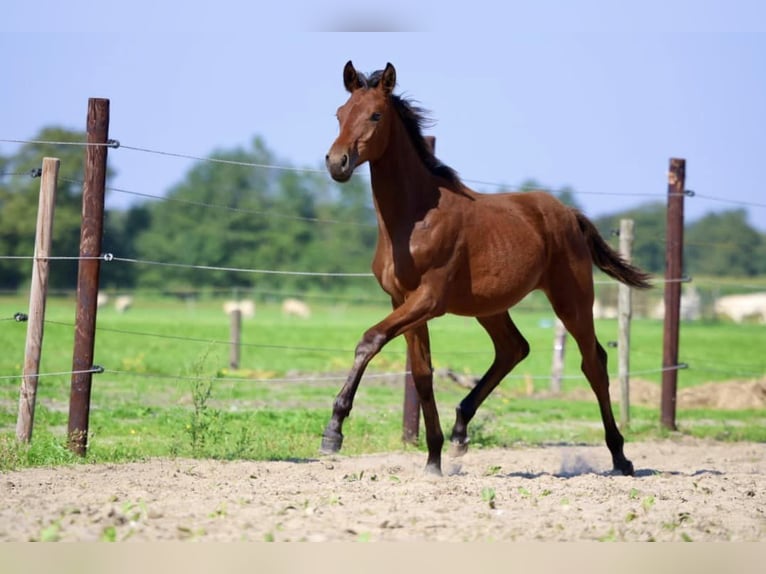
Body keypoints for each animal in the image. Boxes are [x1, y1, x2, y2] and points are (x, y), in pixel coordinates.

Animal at [324, 62, 656, 476]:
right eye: (339, 114)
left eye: (375, 115)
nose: (337, 162)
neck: (413, 220)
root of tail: (568, 213)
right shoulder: (402, 301)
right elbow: (422, 374)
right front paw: (433, 459)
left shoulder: (429, 299)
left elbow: (370, 340)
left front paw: (334, 430)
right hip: (490, 306)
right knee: (514, 348)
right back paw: (459, 433)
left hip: (573, 299)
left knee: (593, 362)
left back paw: (621, 457)